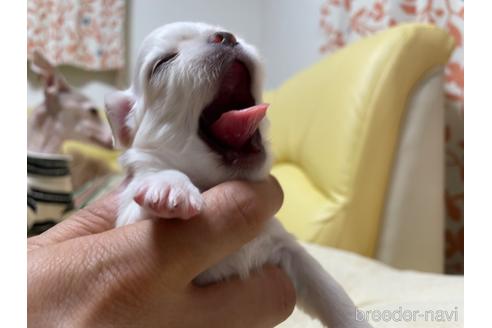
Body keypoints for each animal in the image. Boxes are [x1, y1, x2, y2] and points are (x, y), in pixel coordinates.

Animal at [105, 21, 370, 326]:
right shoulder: (128, 218)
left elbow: (327, 288)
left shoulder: (286, 247)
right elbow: (150, 186)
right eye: (162, 63)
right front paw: (170, 187)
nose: (225, 37)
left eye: (223, 31)